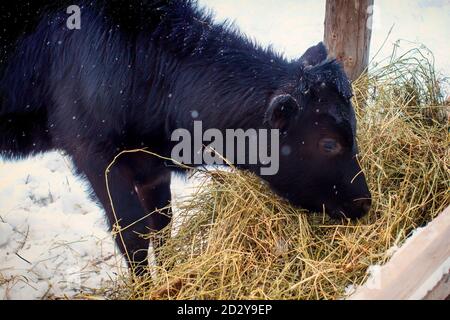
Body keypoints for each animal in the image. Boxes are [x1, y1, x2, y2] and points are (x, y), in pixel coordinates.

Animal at [0, 0, 370, 276]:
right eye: (329, 143)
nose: (365, 202)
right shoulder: (95, 155)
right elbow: (132, 235)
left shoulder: (152, 166)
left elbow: (161, 224)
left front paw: (169, 276)